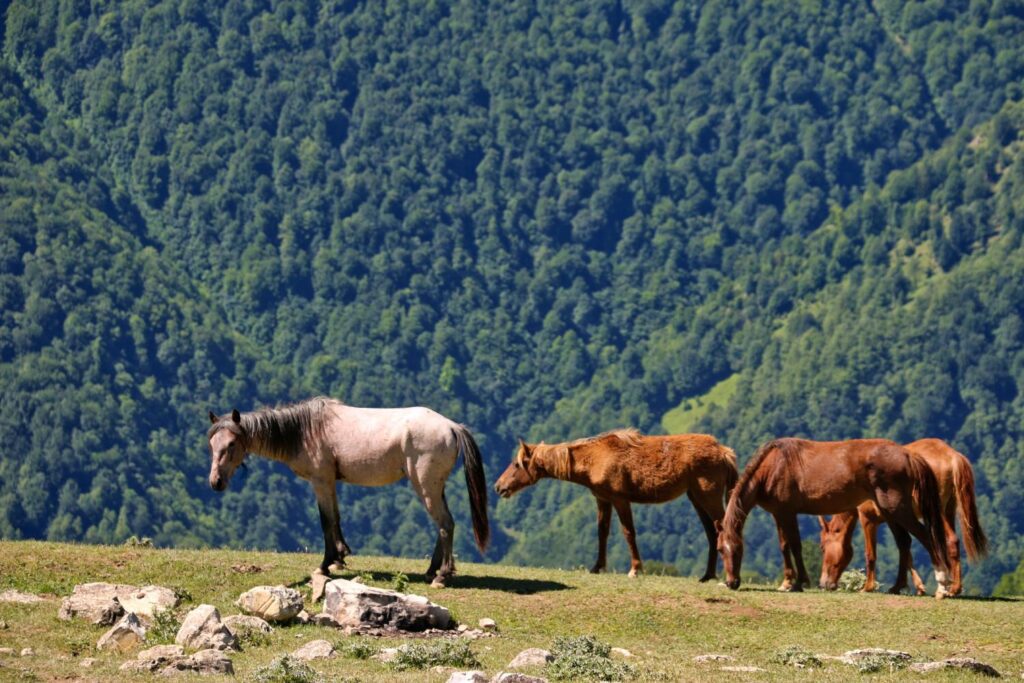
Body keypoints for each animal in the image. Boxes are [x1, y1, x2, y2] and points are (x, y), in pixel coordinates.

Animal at [205, 395, 489, 589]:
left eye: (232, 444)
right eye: (212, 444)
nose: (215, 482)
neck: (305, 430)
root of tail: (452, 426)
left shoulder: (320, 481)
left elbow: (325, 521)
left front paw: (325, 565)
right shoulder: (330, 482)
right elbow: (335, 518)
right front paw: (339, 558)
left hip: (426, 486)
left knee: (446, 524)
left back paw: (442, 576)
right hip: (434, 488)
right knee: (442, 525)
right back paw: (432, 570)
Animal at [489, 430, 737, 581]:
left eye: (516, 464)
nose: (499, 487)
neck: (594, 458)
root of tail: (723, 451)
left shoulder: (620, 500)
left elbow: (628, 533)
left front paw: (635, 568)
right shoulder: (603, 499)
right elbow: (602, 532)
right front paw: (597, 566)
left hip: (708, 497)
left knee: (722, 529)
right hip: (696, 498)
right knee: (711, 533)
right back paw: (707, 575)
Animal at [716, 438, 954, 598]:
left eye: (738, 549)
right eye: (720, 550)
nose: (731, 582)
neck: (774, 465)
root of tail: (907, 454)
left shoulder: (787, 513)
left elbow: (795, 546)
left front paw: (799, 582)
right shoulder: (778, 514)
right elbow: (784, 546)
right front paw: (787, 582)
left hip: (897, 508)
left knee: (926, 537)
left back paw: (942, 584)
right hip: (890, 511)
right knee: (904, 542)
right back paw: (897, 587)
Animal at [815, 440, 983, 593]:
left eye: (822, 548)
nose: (823, 584)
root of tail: (952, 456)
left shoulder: (868, 519)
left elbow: (872, 553)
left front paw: (868, 587)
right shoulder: (893, 519)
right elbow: (906, 551)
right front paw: (914, 586)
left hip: (937, 513)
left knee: (947, 541)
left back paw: (950, 588)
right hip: (948, 511)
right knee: (953, 541)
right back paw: (954, 587)